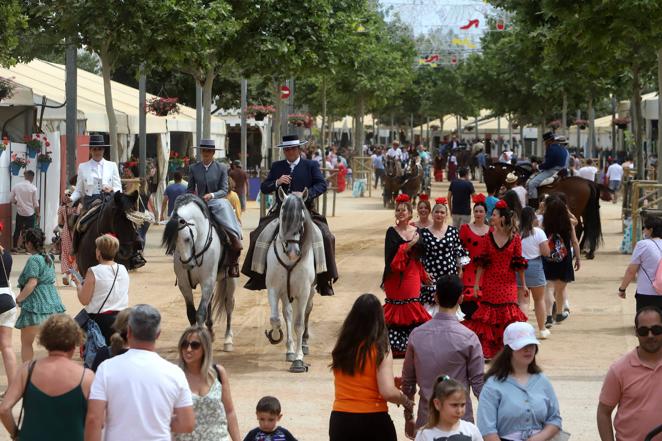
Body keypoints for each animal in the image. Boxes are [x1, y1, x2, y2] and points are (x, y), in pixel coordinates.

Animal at [162, 194, 237, 348]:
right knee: (211, 301)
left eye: (187, 239)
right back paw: (211, 331)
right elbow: (191, 313)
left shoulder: (207, 281)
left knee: (229, 305)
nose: (187, 264)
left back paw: (228, 339)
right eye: (173, 242)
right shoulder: (184, 284)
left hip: (230, 278)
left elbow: (200, 313)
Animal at [264, 187, 316, 372]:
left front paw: (299, 360)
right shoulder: (274, 288)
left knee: (306, 312)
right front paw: (276, 335)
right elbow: (276, 318)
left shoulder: (304, 291)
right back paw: (290, 350)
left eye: (301, 219)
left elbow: (299, 323)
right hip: (287, 293)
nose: (293, 252)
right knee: (287, 313)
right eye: (282, 216)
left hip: (310, 292)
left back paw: (304, 345)